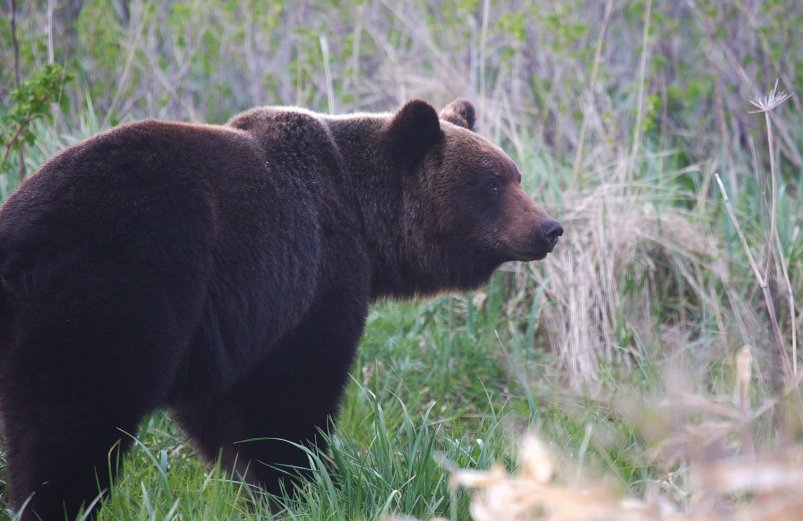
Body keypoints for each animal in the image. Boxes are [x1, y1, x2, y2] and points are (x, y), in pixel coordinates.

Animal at [0, 96, 560, 516]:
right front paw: (312, 483)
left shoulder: (223, 328)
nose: (550, 227)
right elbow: (290, 397)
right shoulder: (308, 278)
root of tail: (19, 238)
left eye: (515, 174)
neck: (365, 221)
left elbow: (224, 414)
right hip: (110, 294)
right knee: (72, 424)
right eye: (493, 183)